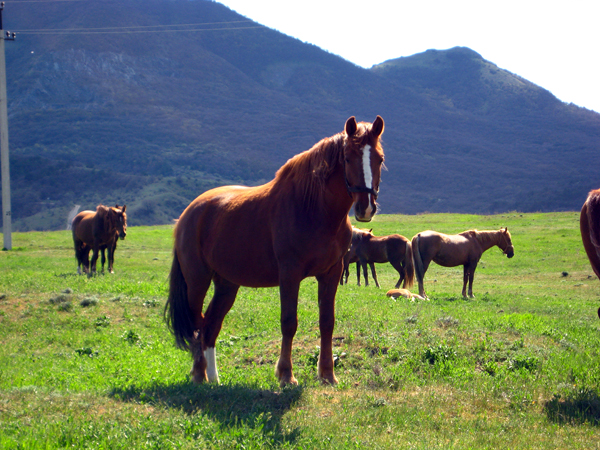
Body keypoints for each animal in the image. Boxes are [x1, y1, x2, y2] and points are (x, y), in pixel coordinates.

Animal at [163, 116, 384, 386]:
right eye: (349, 158)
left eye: (379, 159)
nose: (366, 208)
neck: (314, 209)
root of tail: (189, 213)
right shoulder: (290, 273)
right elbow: (289, 322)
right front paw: (286, 374)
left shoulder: (331, 273)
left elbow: (327, 322)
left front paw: (327, 374)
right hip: (197, 281)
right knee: (197, 325)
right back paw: (199, 374)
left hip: (226, 284)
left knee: (210, 326)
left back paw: (214, 378)